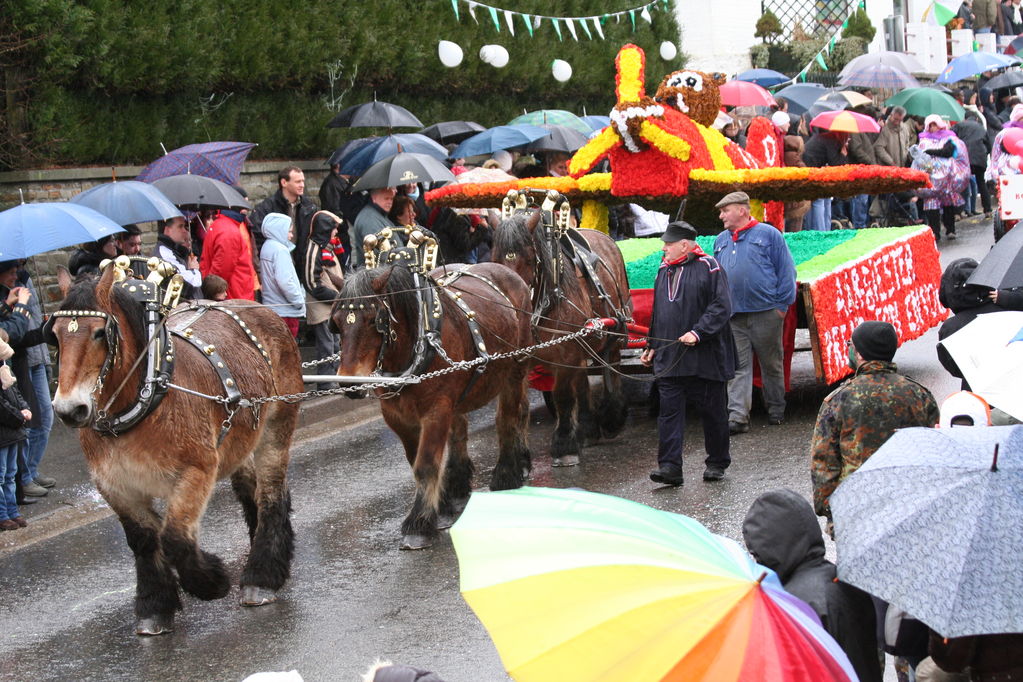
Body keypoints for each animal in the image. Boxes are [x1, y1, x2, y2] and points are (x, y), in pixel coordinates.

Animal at [48, 265, 302, 633]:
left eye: (99, 333)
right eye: (54, 336)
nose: (69, 410)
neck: (144, 399)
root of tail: (260, 308)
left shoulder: (196, 471)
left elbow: (174, 538)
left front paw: (211, 582)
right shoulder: (115, 486)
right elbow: (144, 538)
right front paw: (154, 604)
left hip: (278, 423)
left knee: (270, 494)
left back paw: (262, 575)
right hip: (240, 442)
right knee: (251, 491)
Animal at [333, 259, 531, 548]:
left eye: (374, 320)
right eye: (336, 323)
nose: (349, 382)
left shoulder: (437, 410)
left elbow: (425, 463)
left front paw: (418, 524)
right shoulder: (397, 417)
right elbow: (415, 461)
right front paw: (441, 505)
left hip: (515, 369)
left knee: (509, 419)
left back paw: (507, 474)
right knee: (461, 433)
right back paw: (460, 485)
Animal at [488, 206, 626, 464]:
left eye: (529, 258)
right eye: (495, 259)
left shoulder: (566, 354)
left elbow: (563, 396)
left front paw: (564, 445)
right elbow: (518, 407)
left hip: (614, 328)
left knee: (612, 364)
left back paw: (613, 417)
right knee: (582, 381)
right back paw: (589, 426)